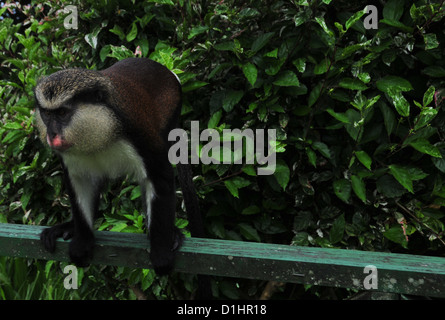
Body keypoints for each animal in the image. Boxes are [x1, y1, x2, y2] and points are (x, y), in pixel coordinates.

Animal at [34, 57, 205, 276]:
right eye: (47, 114)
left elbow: (160, 176)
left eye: (63, 113)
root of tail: (168, 72)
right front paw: (82, 241)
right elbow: (81, 183)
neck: (100, 128)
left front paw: (161, 252)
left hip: (171, 109)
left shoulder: (137, 133)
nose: (51, 135)